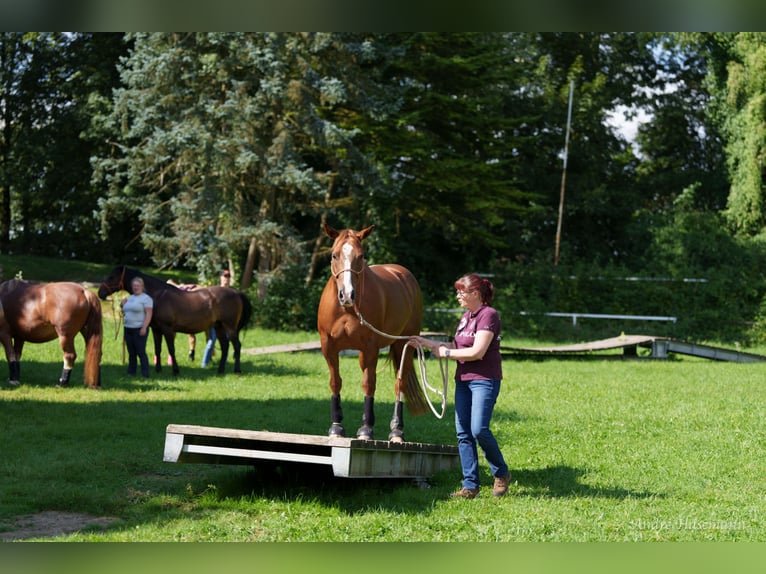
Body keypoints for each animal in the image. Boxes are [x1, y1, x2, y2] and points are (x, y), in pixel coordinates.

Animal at [99, 266, 252, 376]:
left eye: (112, 277)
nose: (100, 293)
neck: (158, 296)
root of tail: (236, 292)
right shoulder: (156, 330)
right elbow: (158, 349)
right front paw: (158, 370)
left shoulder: (167, 329)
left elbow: (171, 349)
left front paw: (175, 371)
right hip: (219, 327)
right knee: (225, 347)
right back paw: (220, 370)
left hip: (230, 327)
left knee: (237, 346)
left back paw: (237, 370)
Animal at [316, 223, 428, 444]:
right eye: (334, 255)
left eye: (361, 256)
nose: (347, 295)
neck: (347, 310)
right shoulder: (328, 347)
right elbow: (335, 382)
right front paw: (336, 427)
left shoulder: (371, 348)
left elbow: (369, 384)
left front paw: (366, 429)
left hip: (403, 346)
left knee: (400, 383)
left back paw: (397, 431)